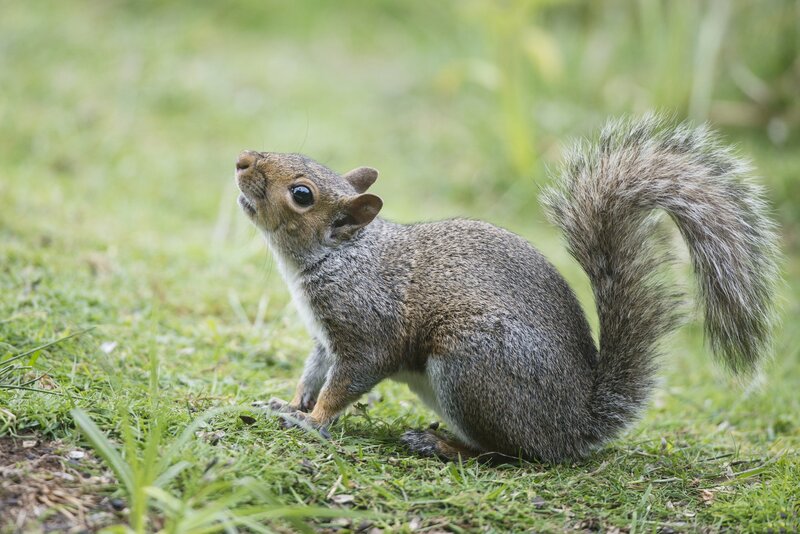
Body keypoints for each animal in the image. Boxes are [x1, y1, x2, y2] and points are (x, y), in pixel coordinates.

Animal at [234, 116, 780, 463]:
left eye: (301, 195)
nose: (242, 158)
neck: (340, 257)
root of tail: (574, 426)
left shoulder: (368, 325)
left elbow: (348, 381)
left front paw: (313, 422)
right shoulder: (324, 338)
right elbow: (313, 375)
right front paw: (291, 405)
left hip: (470, 366)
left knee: (513, 453)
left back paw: (443, 446)